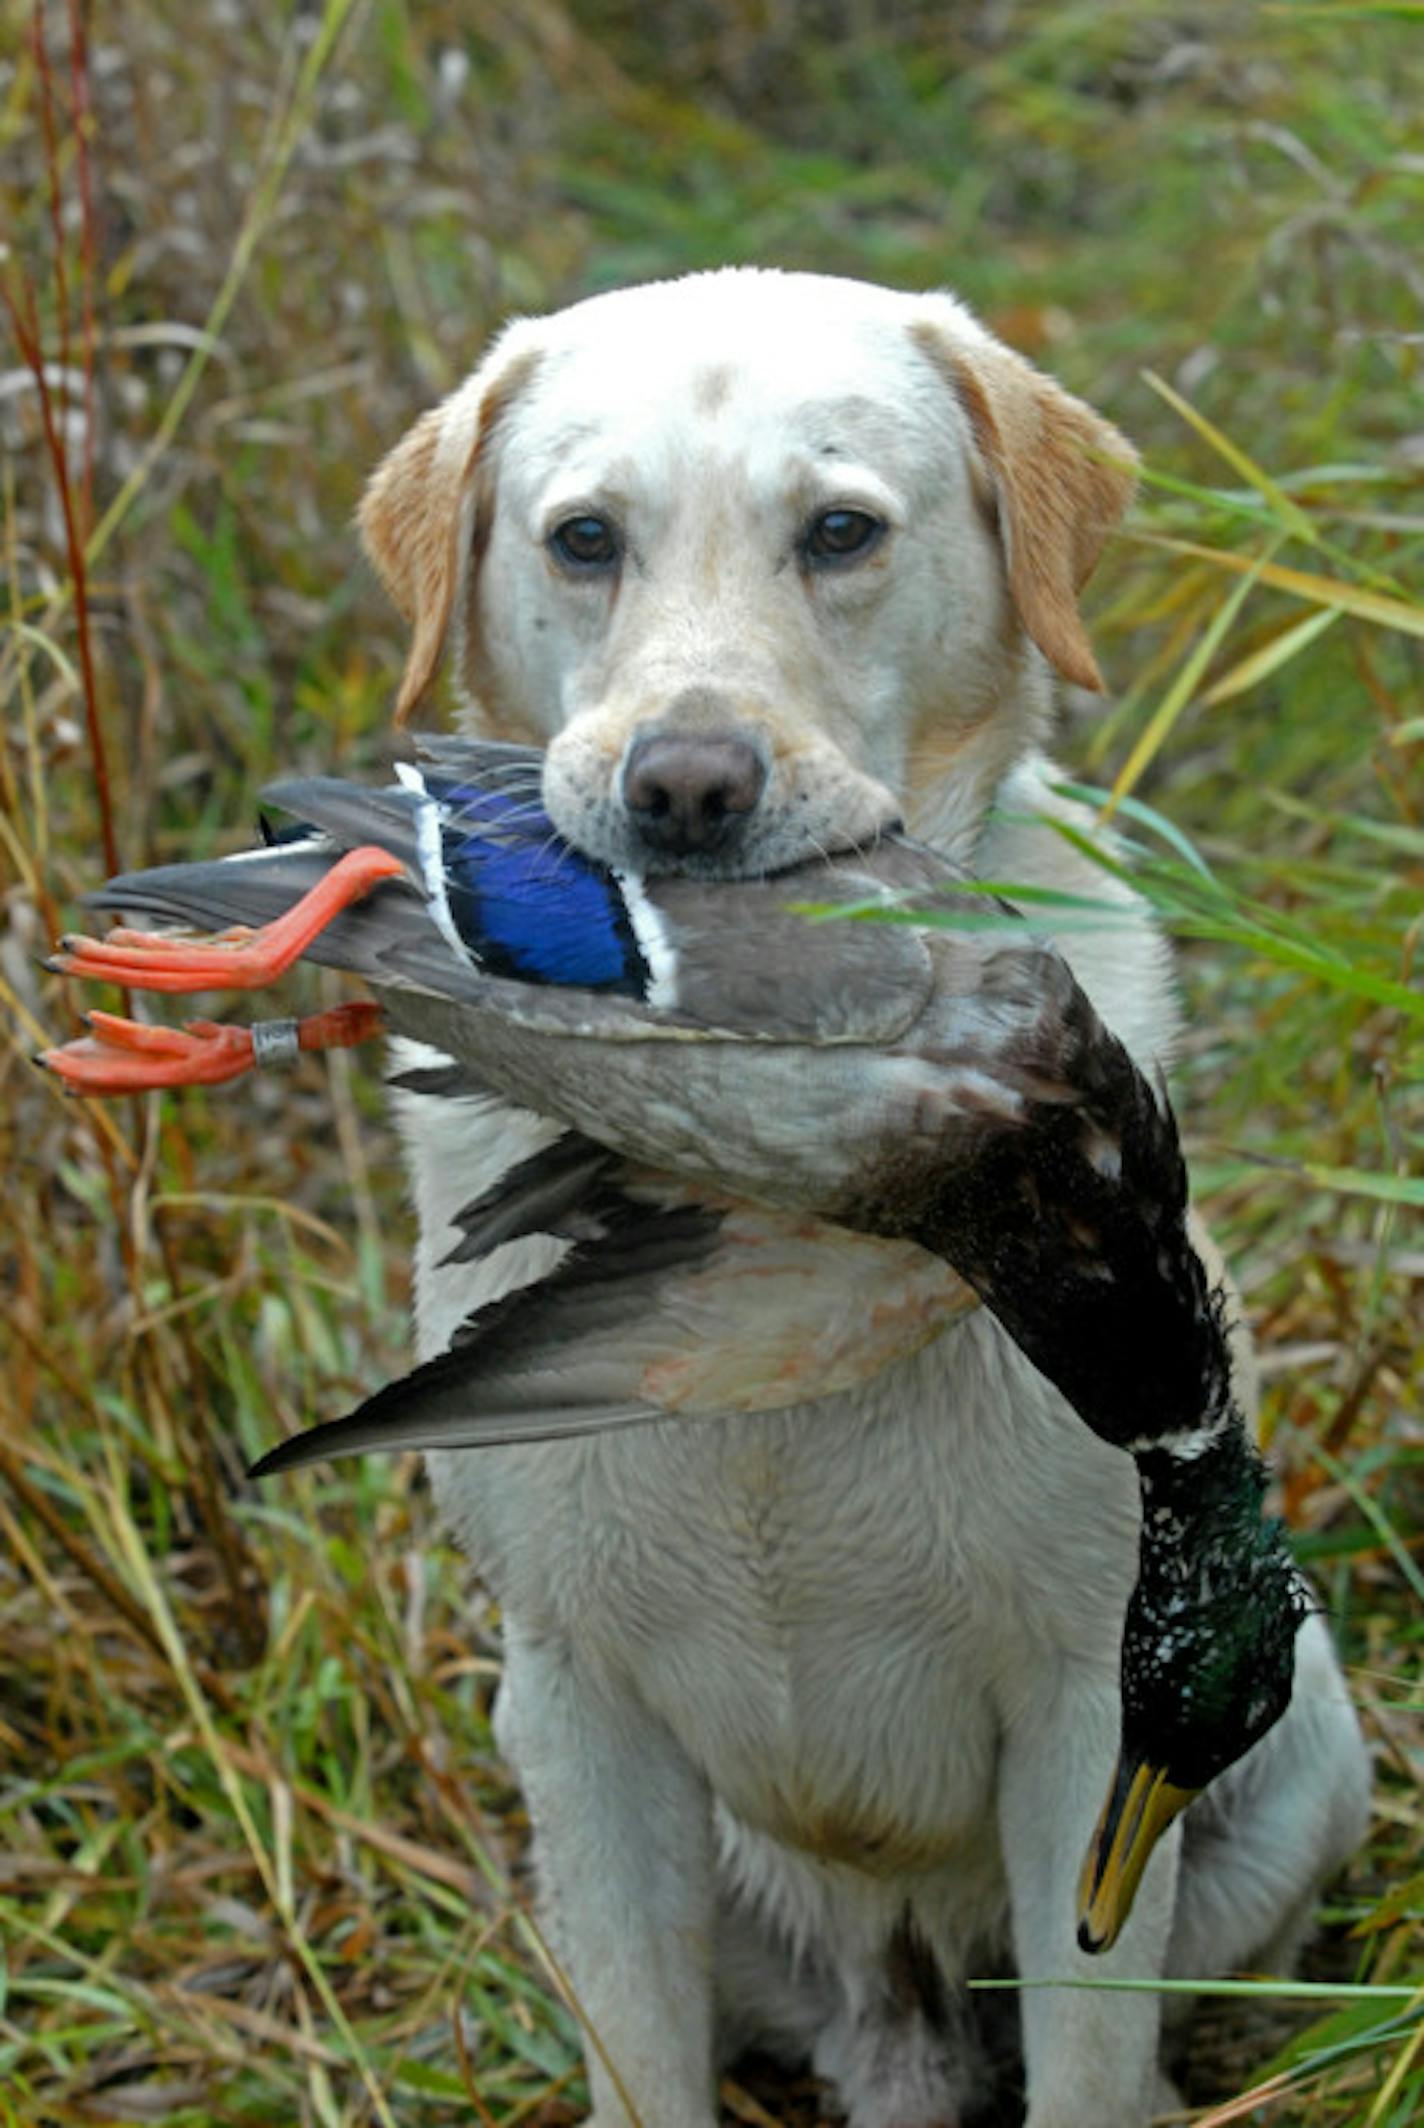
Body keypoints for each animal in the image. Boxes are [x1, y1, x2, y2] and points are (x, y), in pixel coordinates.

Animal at [355, 270, 1362, 2128]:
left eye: (839, 530)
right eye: (582, 537)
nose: (684, 786)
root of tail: (898, 2019)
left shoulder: (1092, 1701)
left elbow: (1091, 2060)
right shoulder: (577, 1710)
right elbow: (640, 2068)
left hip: (1300, 1756)